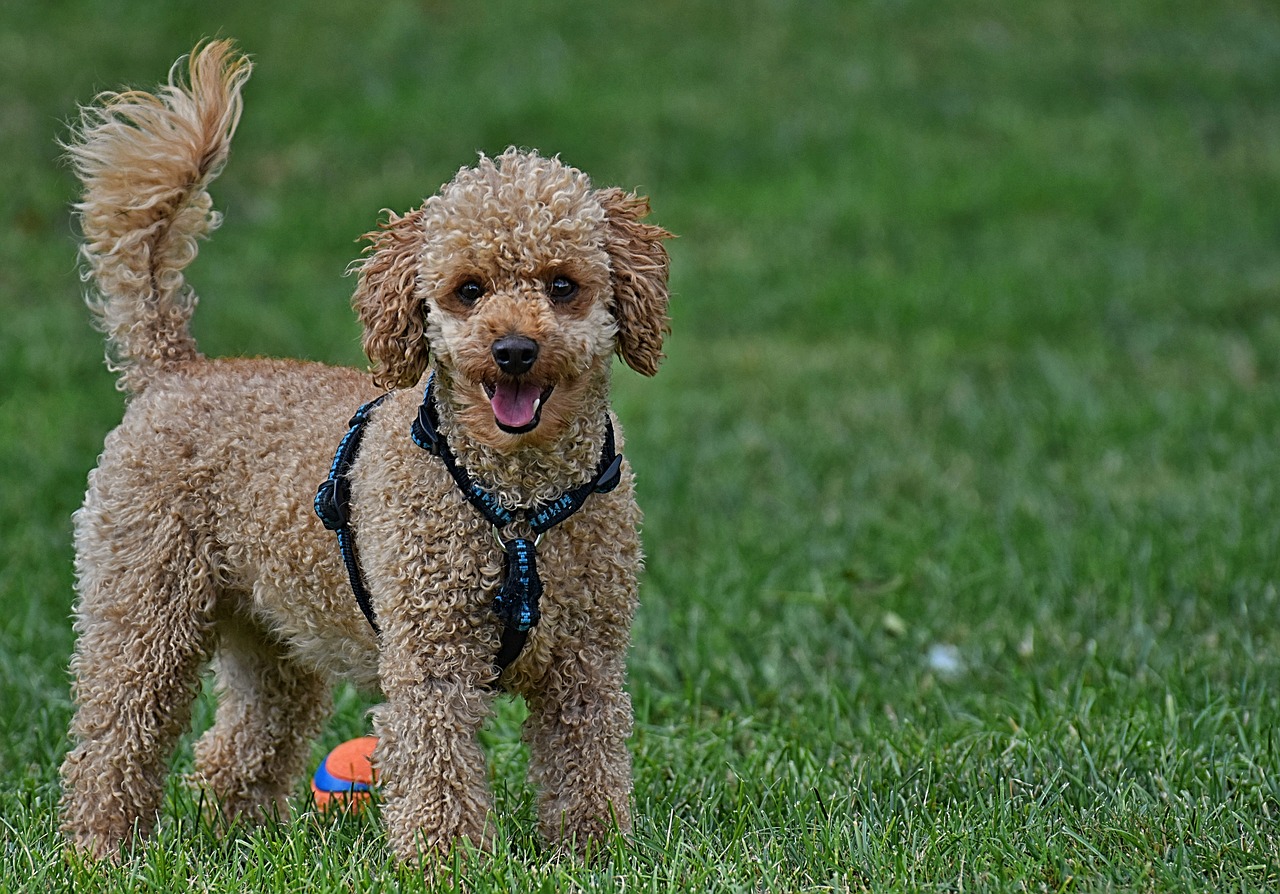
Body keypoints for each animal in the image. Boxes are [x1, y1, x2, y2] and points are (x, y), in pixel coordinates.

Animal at [57, 41, 670, 865]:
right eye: (468, 289)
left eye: (563, 285)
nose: (513, 350)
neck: (518, 503)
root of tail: (174, 368)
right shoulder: (432, 652)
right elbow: (439, 768)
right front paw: (446, 863)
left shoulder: (587, 663)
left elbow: (588, 763)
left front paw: (594, 855)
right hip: (145, 606)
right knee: (112, 736)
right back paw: (96, 846)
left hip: (272, 633)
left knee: (236, 747)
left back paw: (241, 839)